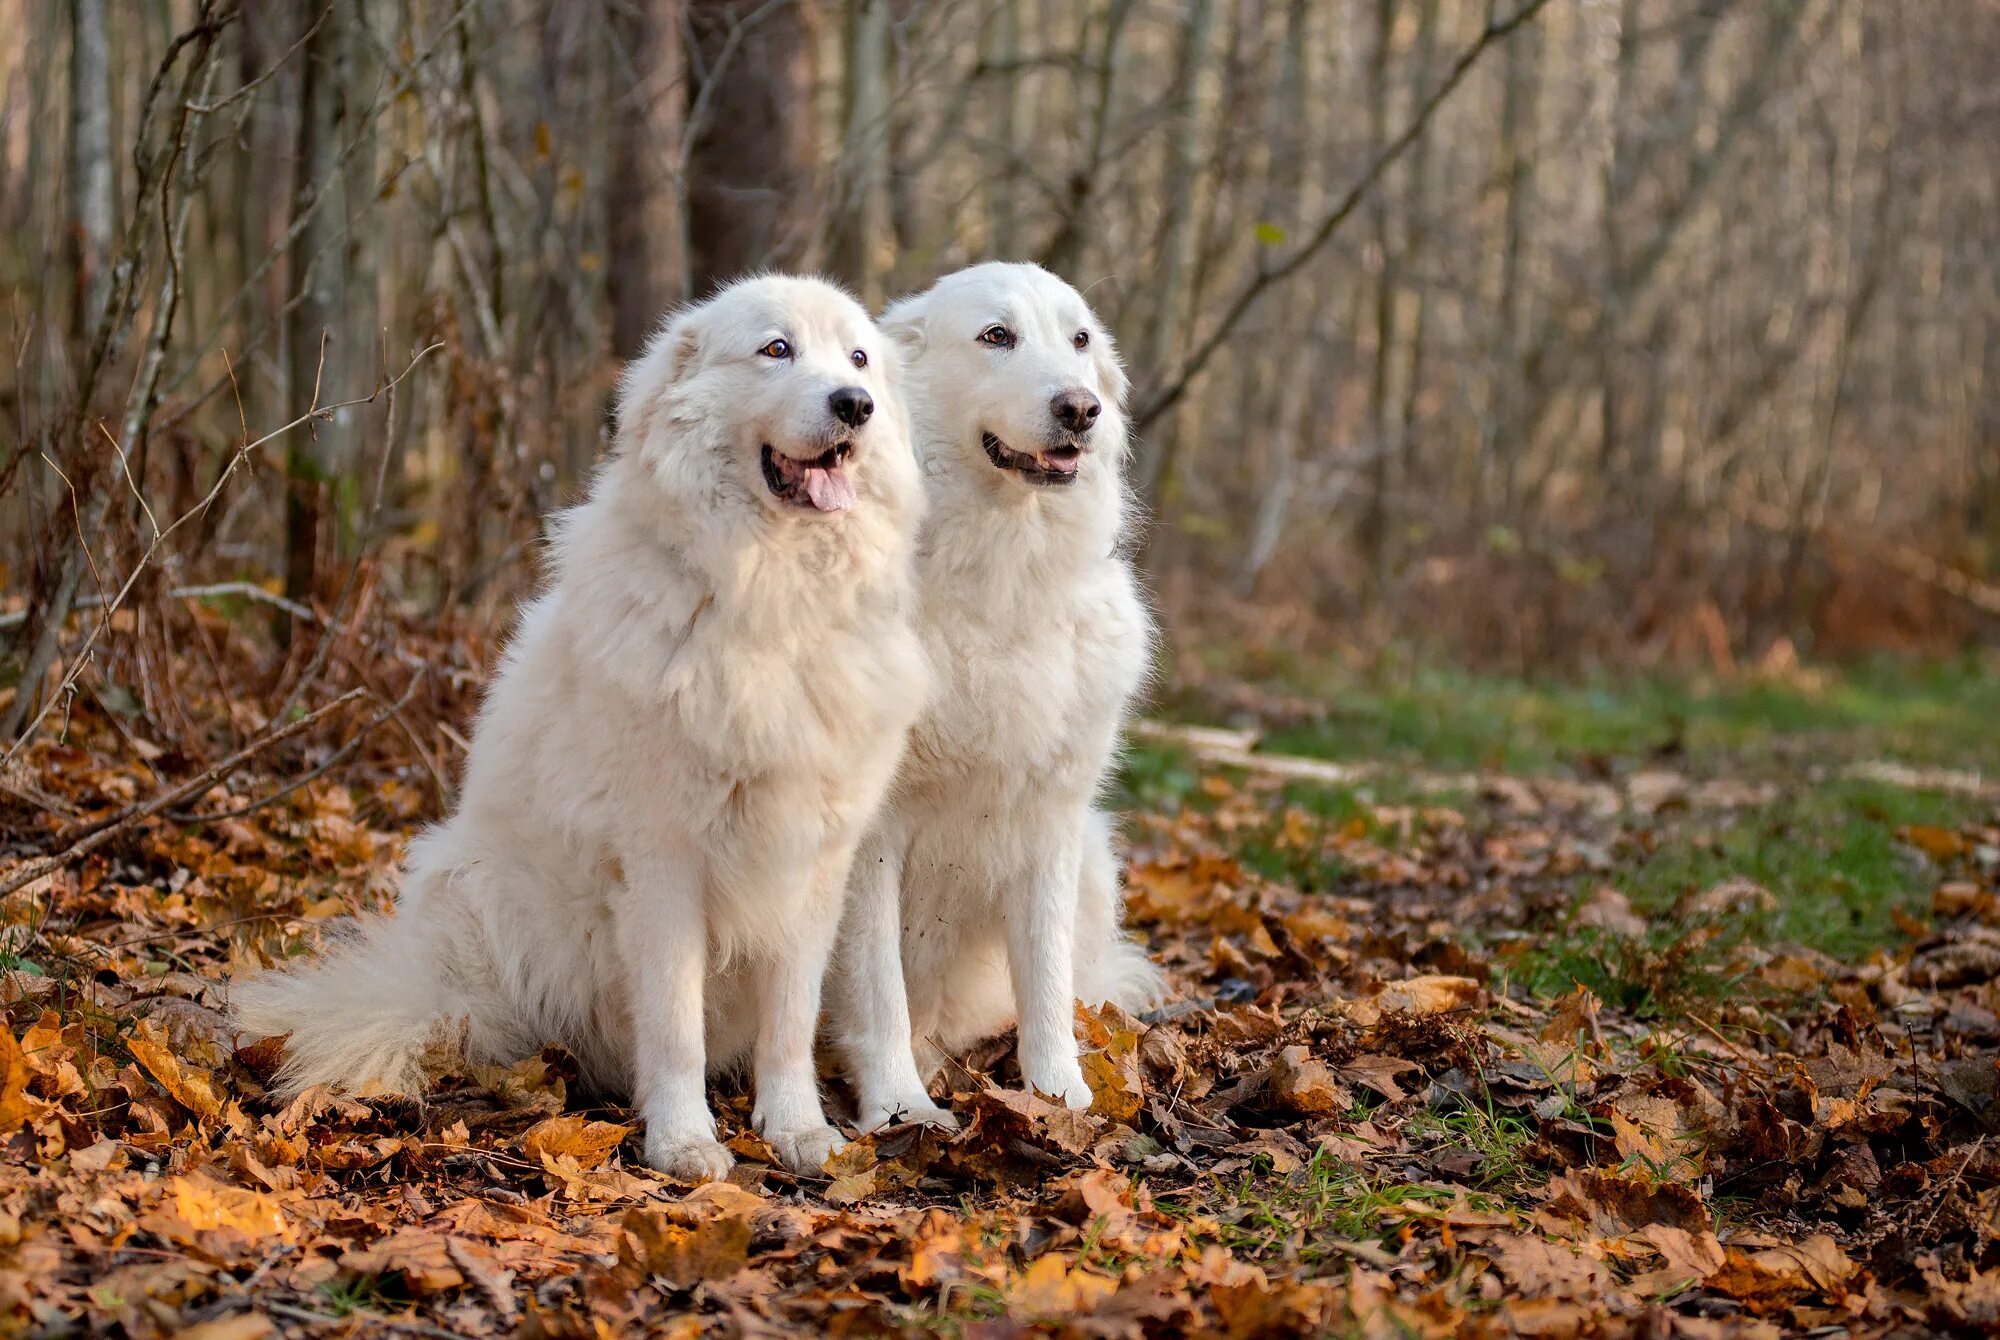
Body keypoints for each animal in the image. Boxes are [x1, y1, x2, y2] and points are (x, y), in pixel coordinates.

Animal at [230, 278, 924, 1184]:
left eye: (859, 358)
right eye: (777, 349)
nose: (855, 406)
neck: (772, 598)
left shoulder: (813, 862)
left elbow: (790, 1021)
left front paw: (797, 1130)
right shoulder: (664, 860)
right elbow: (673, 1024)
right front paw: (683, 1142)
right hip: (478, 891)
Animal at [828, 262, 1168, 1136]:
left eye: (1078, 340)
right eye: (996, 336)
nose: (1081, 408)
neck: (998, 571)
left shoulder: (1049, 820)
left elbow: (1043, 978)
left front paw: (1060, 1098)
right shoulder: (869, 835)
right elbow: (879, 986)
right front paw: (900, 1108)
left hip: (1095, 855)